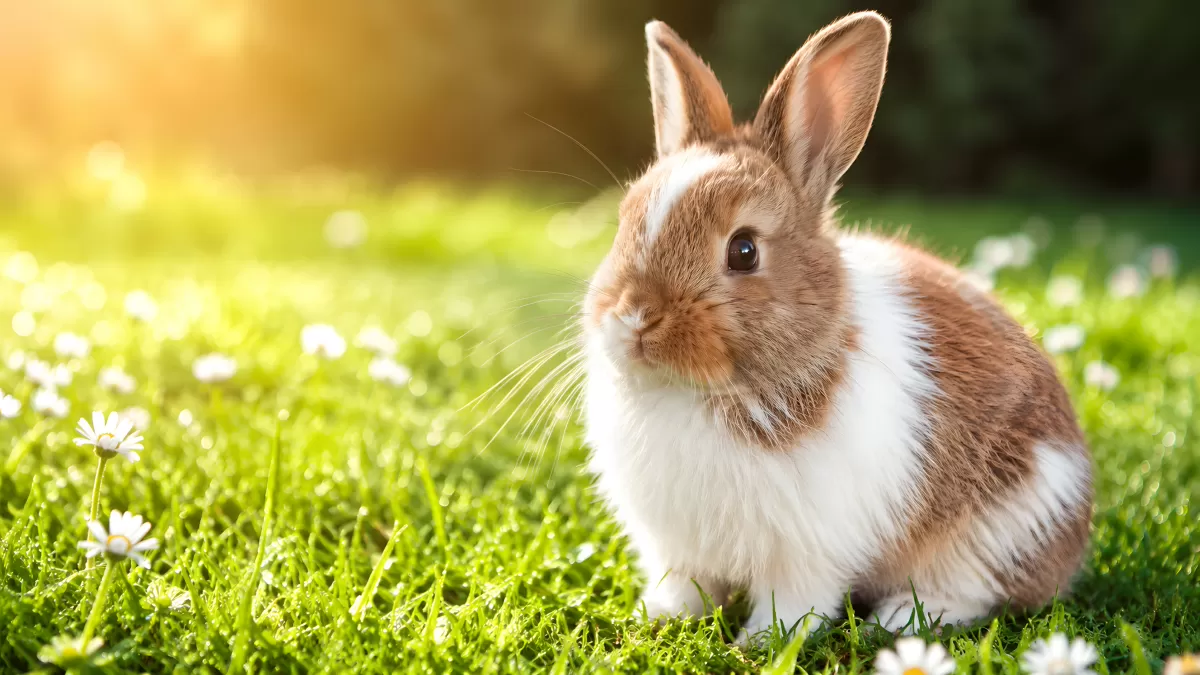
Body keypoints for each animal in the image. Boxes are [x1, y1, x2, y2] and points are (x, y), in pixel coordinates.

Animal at [580, 11, 1093, 641]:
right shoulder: (677, 551)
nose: (632, 317)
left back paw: (897, 618)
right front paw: (657, 619)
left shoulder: (806, 553)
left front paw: (760, 644)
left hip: (1001, 530)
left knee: (980, 593)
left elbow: (794, 603)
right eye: (625, 220)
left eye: (744, 251)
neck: (696, 393)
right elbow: (686, 589)